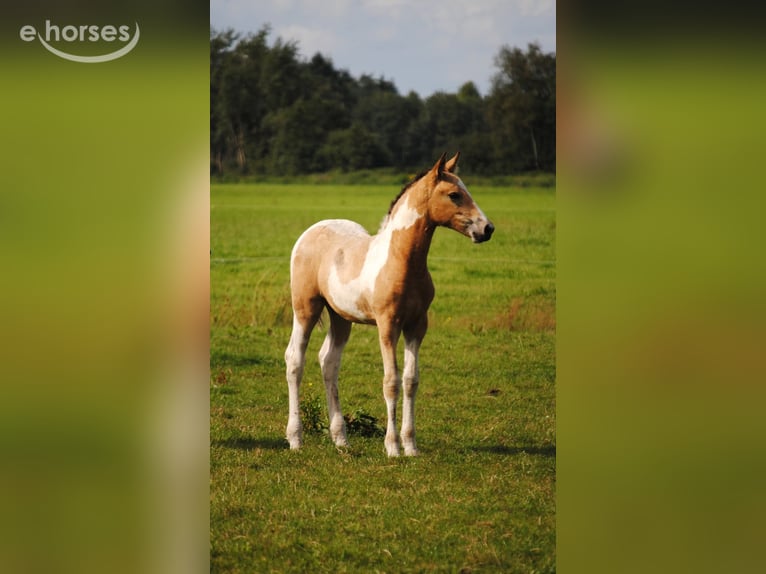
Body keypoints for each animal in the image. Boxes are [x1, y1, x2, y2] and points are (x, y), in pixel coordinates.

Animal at [284, 152, 494, 456]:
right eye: (454, 194)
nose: (487, 229)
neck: (402, 261)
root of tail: (310, 231)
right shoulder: (388, 325)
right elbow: (391, 382)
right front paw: (393, 447)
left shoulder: (417, 325)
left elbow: (410, 381)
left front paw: (411, 446)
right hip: (305, 308)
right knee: (294, 361)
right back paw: (295, 439)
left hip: (340, 317)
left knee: (329, 362)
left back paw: (341, 439)